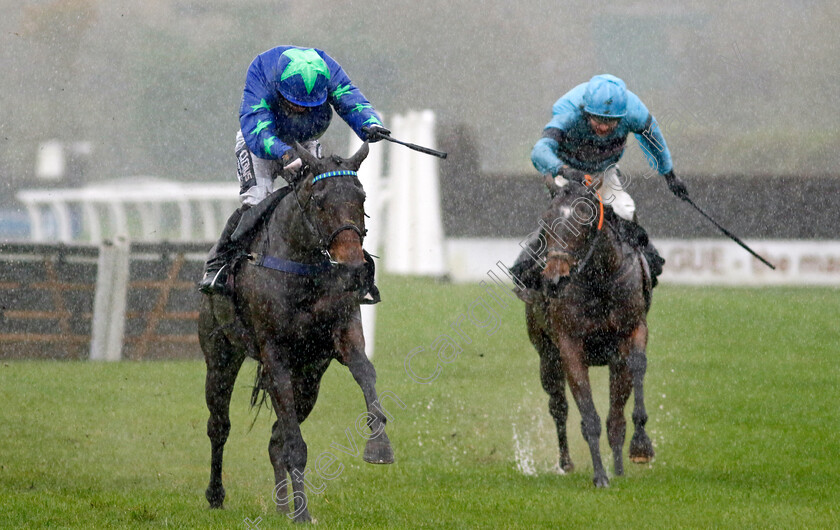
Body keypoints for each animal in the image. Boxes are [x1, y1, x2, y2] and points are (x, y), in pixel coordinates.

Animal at [198, 140, 394, 520]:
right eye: (319, 199)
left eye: (361, 197)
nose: (353, 267)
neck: (304, 265)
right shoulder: (274, 355)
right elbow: (294, 444)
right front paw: (303, 515)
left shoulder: (343, 334)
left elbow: (365, 371)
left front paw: (379, 445)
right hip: (221, 353)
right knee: (220, 426)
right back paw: (216, 495)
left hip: (309, 378)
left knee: (276, 437)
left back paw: (282, 505)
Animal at [520, 173, 656, 486]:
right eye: (546, 221)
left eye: (585, 219)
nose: (554, 279)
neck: (599, 280)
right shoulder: (569, 345)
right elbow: (588, 415)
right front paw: (600, 476)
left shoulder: (631, 332)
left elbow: (635, 370)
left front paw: (637, 449)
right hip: (546, 353)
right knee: (558, 406)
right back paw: (565, 462)